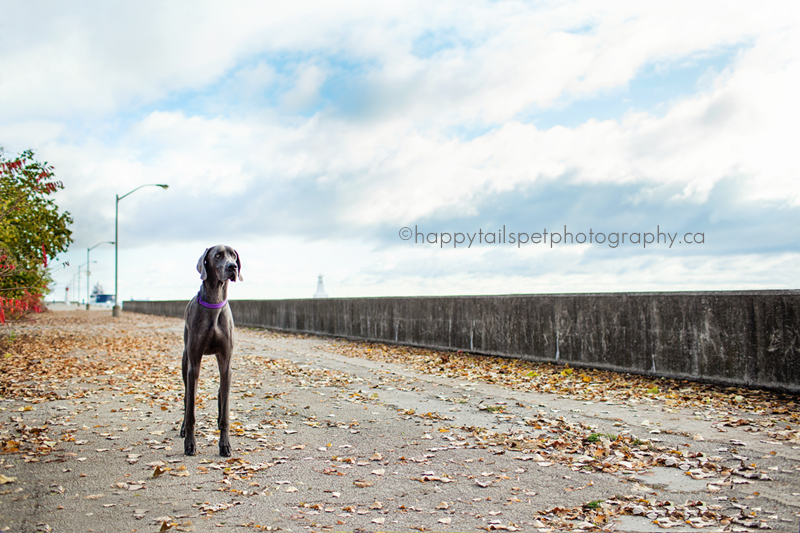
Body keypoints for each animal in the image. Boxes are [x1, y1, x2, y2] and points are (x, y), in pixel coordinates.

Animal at [180, 243, 242, 456]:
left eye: (233, 255)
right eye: (217, 255)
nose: (232, 267)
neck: (214, 302)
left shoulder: (226, 362)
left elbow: (226, 413)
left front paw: (225, 444)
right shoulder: (193, 365)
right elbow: (191, 410)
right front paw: (190, 444)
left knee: (221, 393)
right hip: (185, 362)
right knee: (186, 397)